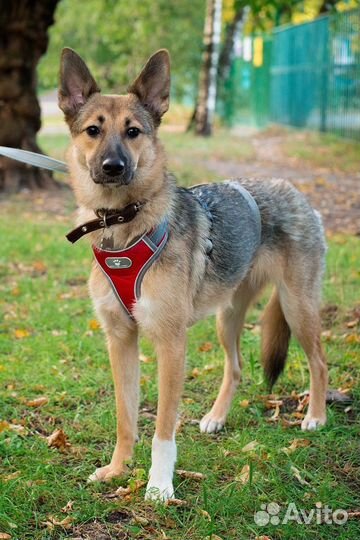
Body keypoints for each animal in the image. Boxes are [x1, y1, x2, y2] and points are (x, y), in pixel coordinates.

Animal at [58, 48, 330, 500]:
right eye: (93, 130)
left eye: (133, 132)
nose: (113, 166)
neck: (124, 223)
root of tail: (293, 190)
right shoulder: (121, 340)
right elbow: (125, 417)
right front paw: (118, 469)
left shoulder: (171, 345)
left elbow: (163, 428)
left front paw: (159, 485)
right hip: (228, 317)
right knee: (235, 368)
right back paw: (217, 417)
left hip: (298, 308)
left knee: (319, 363)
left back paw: (316, 416)